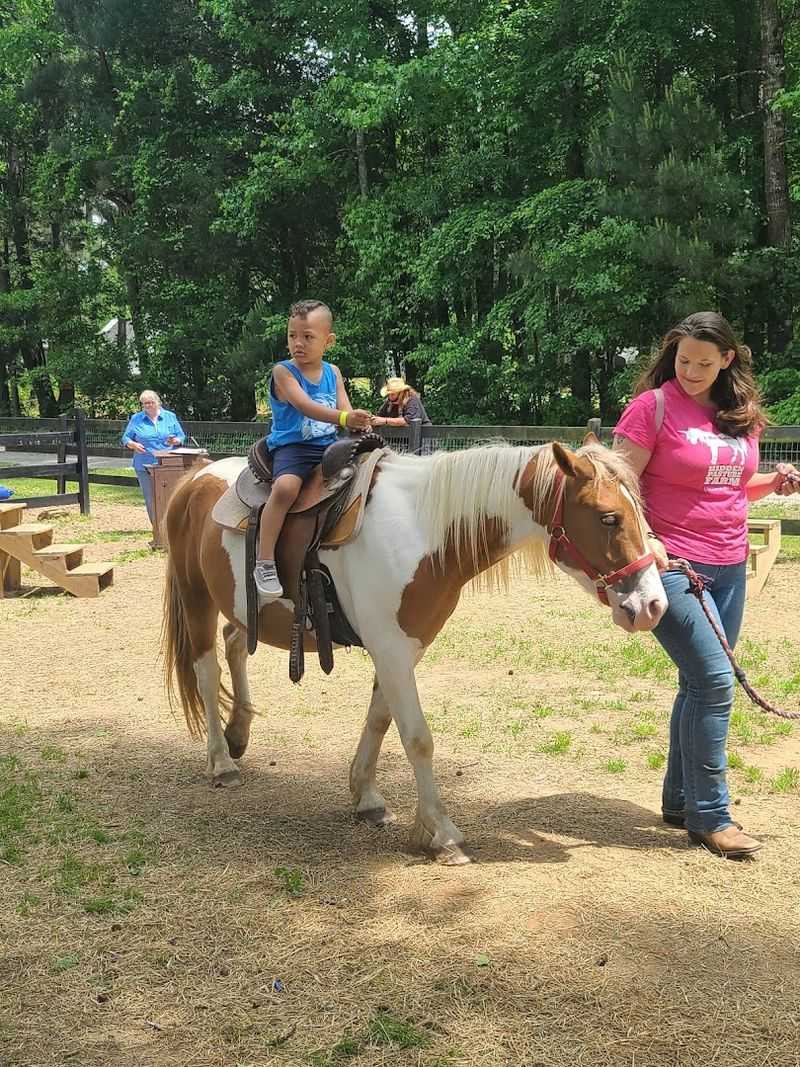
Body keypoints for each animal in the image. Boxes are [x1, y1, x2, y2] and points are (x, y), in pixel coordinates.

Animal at [161, 437, 667, 864]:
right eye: (608, 517)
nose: (652, 605)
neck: (424, 532)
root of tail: (196, 478)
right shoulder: (391, 649)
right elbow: (418, 738)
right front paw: (441, 833)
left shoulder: (404, 647)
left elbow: (380, 720)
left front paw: (366, 798)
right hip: (196, 596)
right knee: (207, 670)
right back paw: (221, 762)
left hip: (246, 609)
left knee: (234, 646)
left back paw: (238, 733)